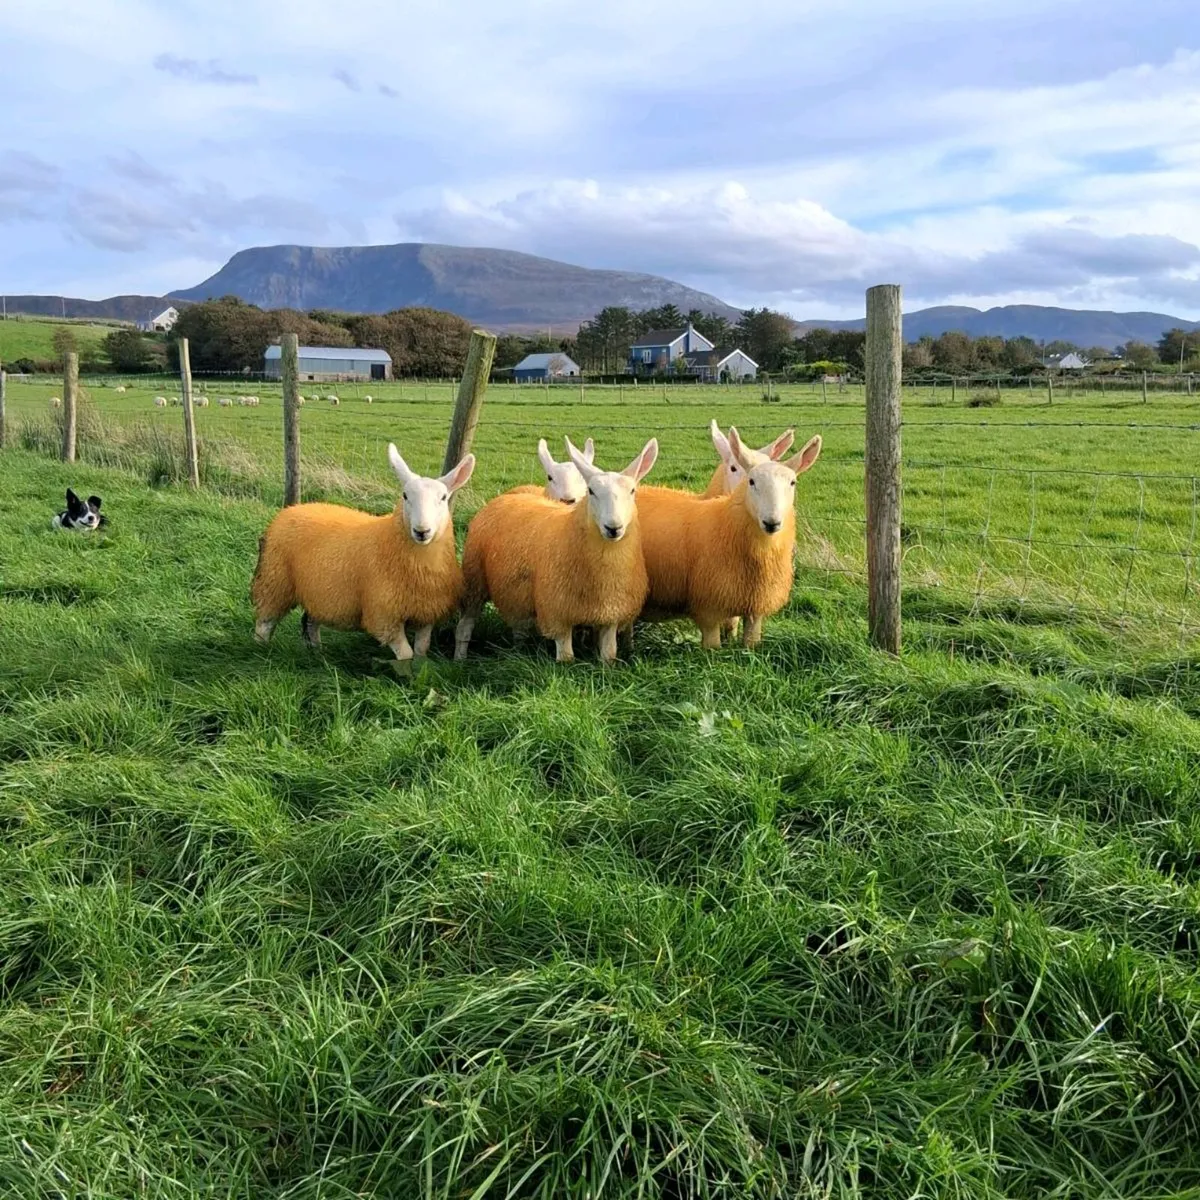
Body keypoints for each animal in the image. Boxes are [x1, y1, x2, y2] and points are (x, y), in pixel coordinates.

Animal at [251, 443, 475, 664]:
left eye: (443, 498)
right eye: (405, 496)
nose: (422, 531)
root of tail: (290, 509)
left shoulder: (427, 612)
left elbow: (421, 650)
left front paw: (420, 668)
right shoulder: (384, 616)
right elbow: (405, 654)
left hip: (318, 591)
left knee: (310, 622)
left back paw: (317, 653)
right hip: (275, 581)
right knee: (265, 623)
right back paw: (261, 651)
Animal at [455, 436, 658, 664]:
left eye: (632, 491)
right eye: (592, 491)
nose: (613, 527)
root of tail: (504, 497)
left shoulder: (610, 615)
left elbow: (609, 655)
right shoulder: (557, 614)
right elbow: (566, 658)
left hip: (515, 594)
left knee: (519, 628)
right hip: (475, 580)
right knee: (465, 625)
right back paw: (460, 659)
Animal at [633, 426, 822, 649]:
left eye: (793, 482)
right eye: (751, 481)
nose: (772, 522)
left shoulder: (754, 604)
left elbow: (744, 636)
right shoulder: (709, 606)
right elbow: (714, 643)